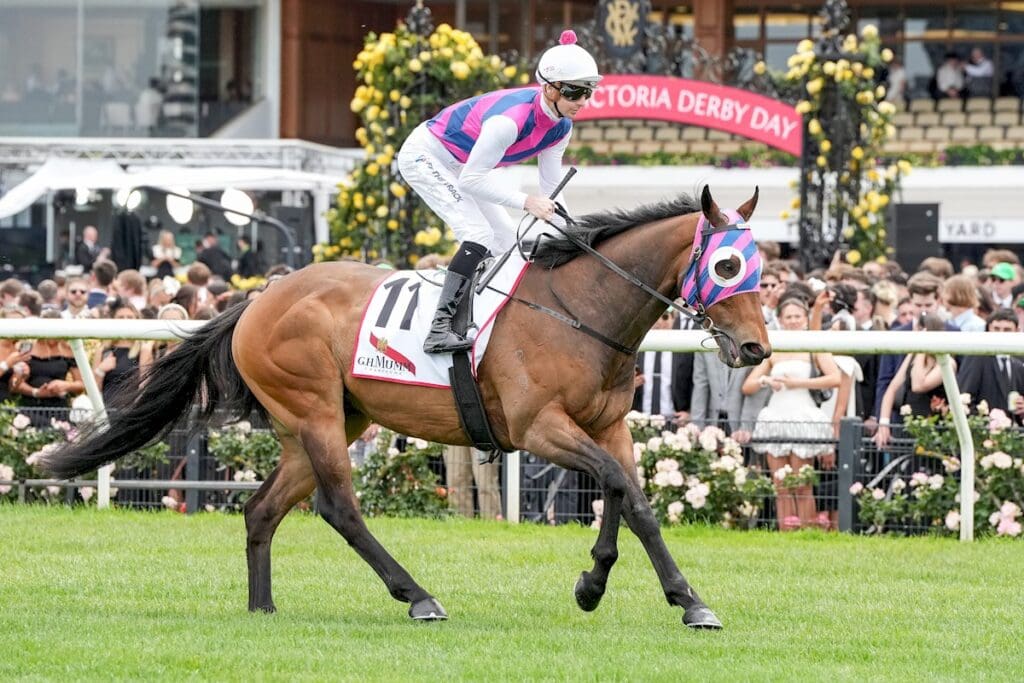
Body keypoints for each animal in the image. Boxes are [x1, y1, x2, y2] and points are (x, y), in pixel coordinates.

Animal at [43, 185, 770, 630]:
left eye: (763, 269)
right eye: (727, 266)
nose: (755, 347)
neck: (580, 309)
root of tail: (257, 298)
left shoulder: (607, 426)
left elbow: (633, 497)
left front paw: (677, 598)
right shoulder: (540, 427)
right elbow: (618, 484)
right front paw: (607, 585)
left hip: (328, 421)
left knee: (263, 509)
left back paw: (263, 606)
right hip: (316, 415)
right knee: (339, 508)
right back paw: (417, 595)